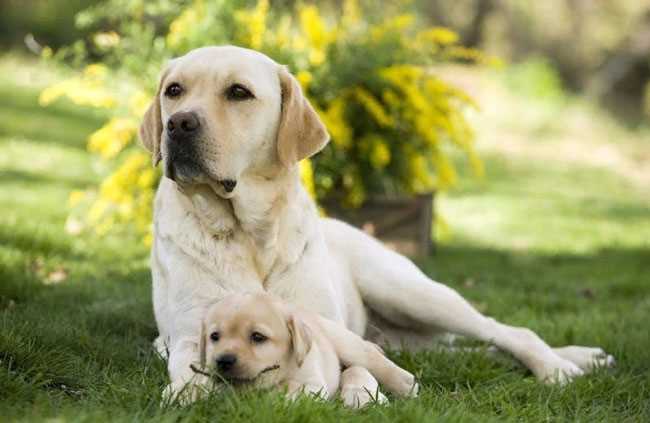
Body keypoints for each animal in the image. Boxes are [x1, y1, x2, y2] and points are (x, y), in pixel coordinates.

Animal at [192, 294, 416, 410]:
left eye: (257, 337)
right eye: (214, 337)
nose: (223, 360)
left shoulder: (312, 384)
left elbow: (288, 390)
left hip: (348, 344)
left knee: (372, 360)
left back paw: (406, 385)